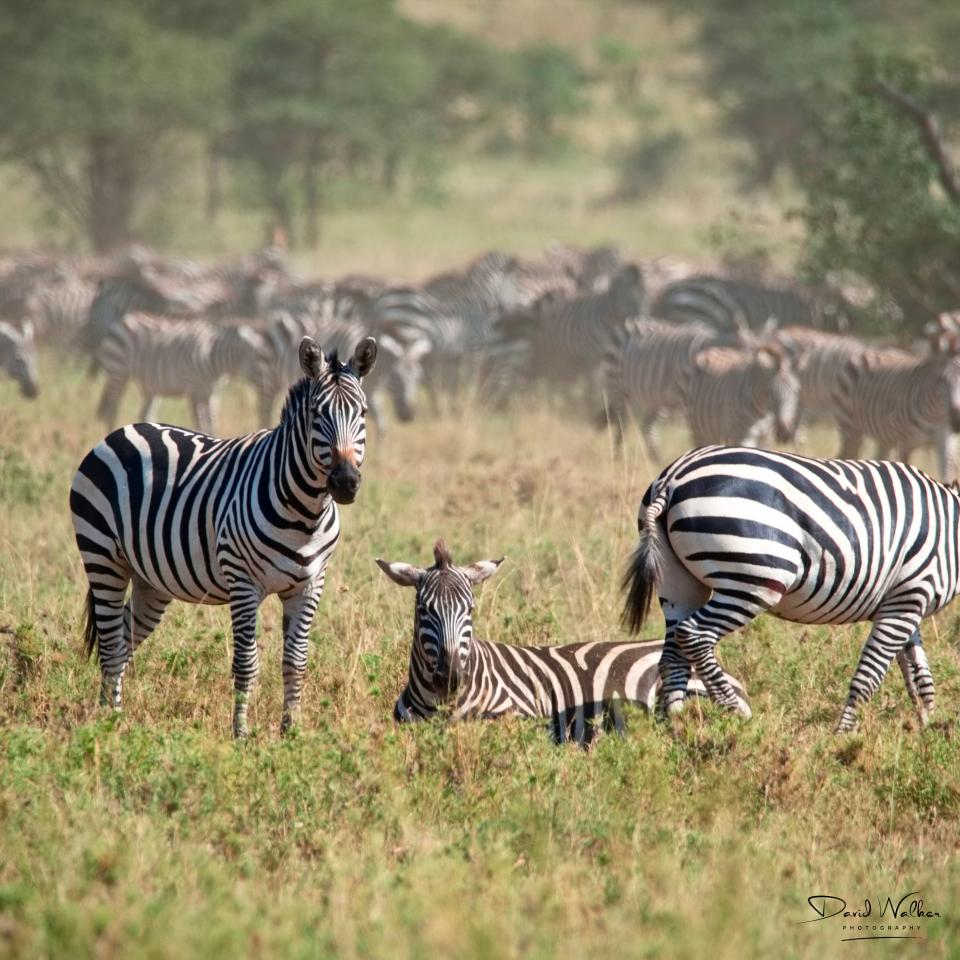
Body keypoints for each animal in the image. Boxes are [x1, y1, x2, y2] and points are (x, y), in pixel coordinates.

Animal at [70, 335, 377, 737]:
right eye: (317, 415)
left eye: (363, 414)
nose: (345, 483)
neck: (305, 513)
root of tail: (121, 431)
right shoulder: (244, 583)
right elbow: (246, 664)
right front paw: (241, 734)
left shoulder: (310, 585)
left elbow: (295, 661)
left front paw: (291, 731)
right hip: (103, 557)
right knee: (109, 643)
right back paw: (109, 723)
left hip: (151, 581)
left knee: (122, 639)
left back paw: (111, 714)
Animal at [94, 313, 266, 434]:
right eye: (261, 357)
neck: (214, 359)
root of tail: (123, 318)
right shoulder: (194, 390)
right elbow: (201, 425)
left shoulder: (212, 394)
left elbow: (212, 423)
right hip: (118, 371)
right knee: (111, 409)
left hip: (149, 383)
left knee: (145, 413)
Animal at [621, 444, 950, 733]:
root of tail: (673, 477)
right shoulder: (910, 594)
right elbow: (871, 673)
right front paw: (845, 733)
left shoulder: (905, 602)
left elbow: (918, 673)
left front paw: (927, 726)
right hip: (752, 579)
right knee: (694, 636)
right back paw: (738, 714)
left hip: (677, 584)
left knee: (672, 658)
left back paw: (674, 727)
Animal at [834, 342, 960, 480]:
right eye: (941, 379)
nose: (956, 421)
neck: (935, 415)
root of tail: (870, 351)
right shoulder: (905, 443)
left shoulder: (946, 443)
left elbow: (946, 476)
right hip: (850, 428)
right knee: (845, 456)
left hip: (883, 436)